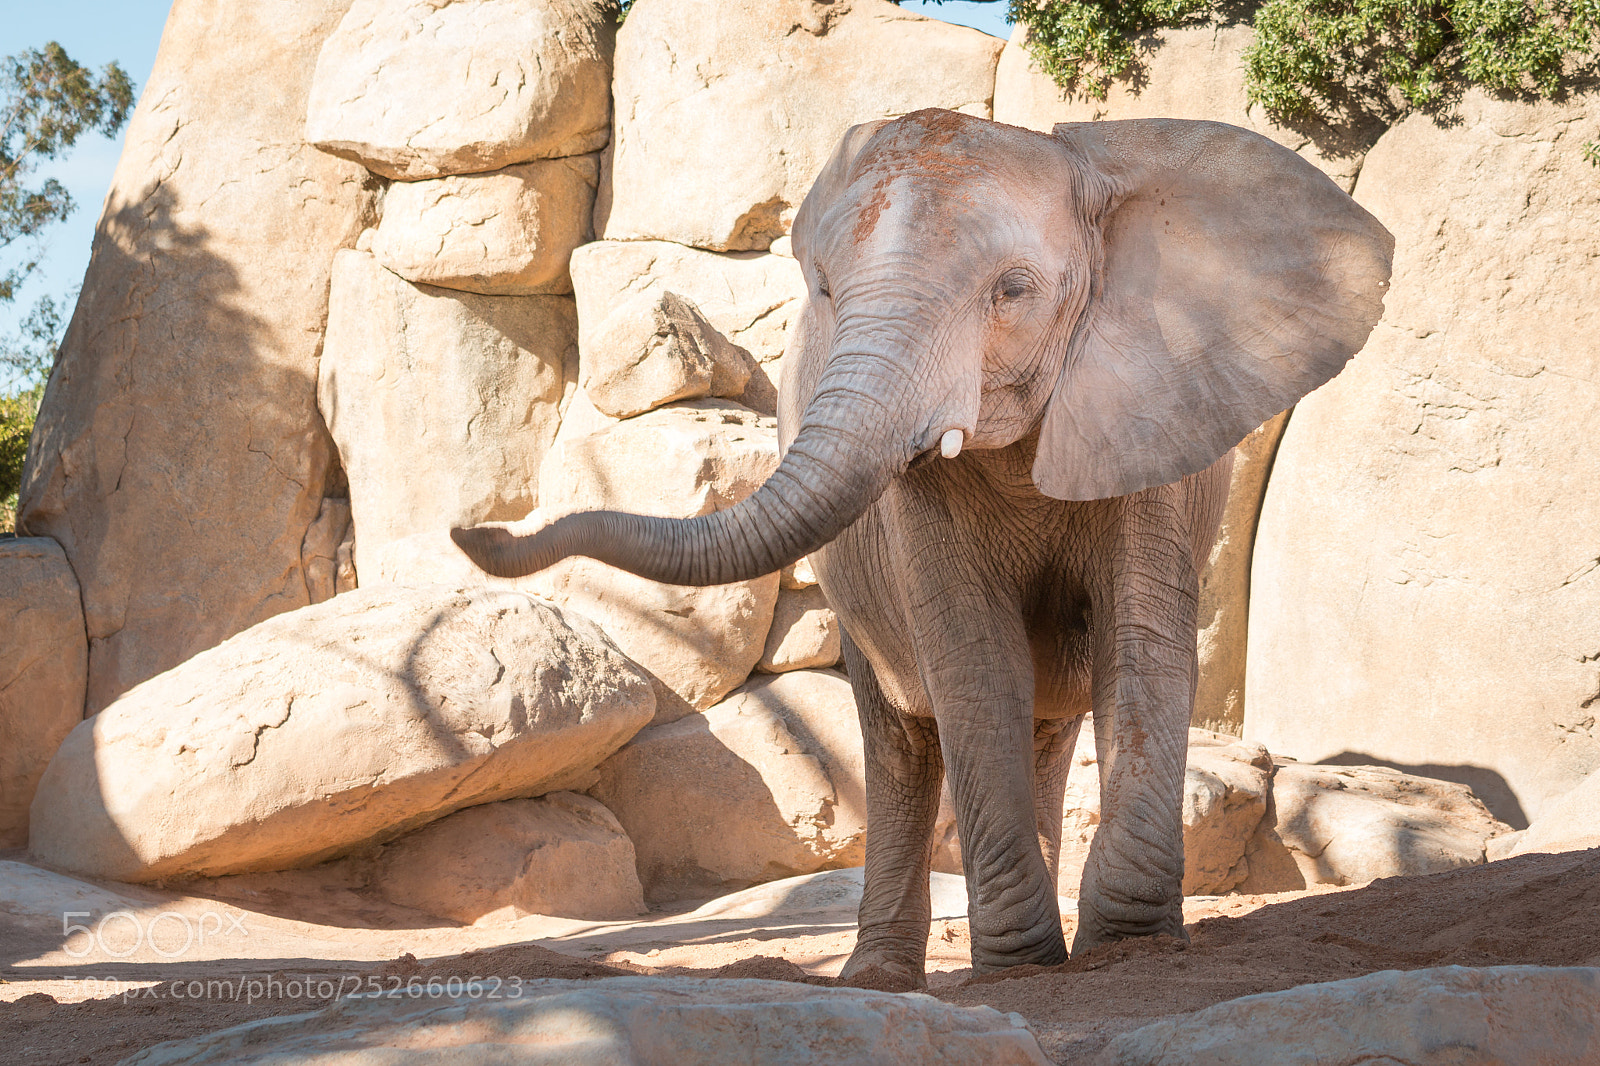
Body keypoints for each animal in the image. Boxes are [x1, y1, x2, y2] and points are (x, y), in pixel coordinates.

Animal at [453, 109, 1393, 982]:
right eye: (826, 291)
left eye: (1013, 290)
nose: (475, 530)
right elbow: (973, 659)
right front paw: (1020, 967)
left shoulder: (1152, 410)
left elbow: (1143, 641)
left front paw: (1126, 952)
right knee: (903, 738)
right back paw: (880, 978)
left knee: (1040, 725)